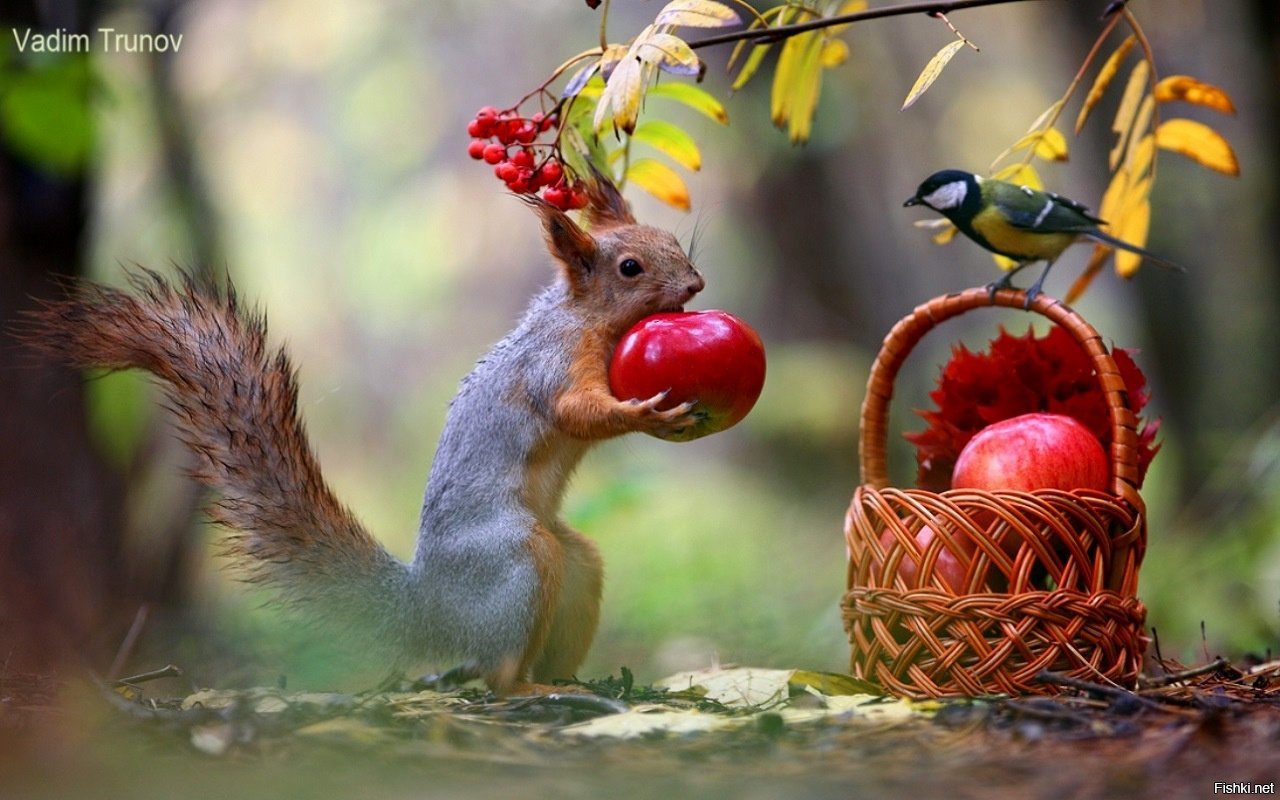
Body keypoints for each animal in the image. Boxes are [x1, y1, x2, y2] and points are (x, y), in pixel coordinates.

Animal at [24, 177, 706, 696]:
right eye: (630, 268)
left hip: (575, 564)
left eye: (674, 240)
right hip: (518, 558)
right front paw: (649, 414)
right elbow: (579, 412)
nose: (696, 286)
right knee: (496, 674)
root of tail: (430, 605)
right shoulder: (553, 367)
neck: (582, 317)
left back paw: (577, 681)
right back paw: (533, 688)